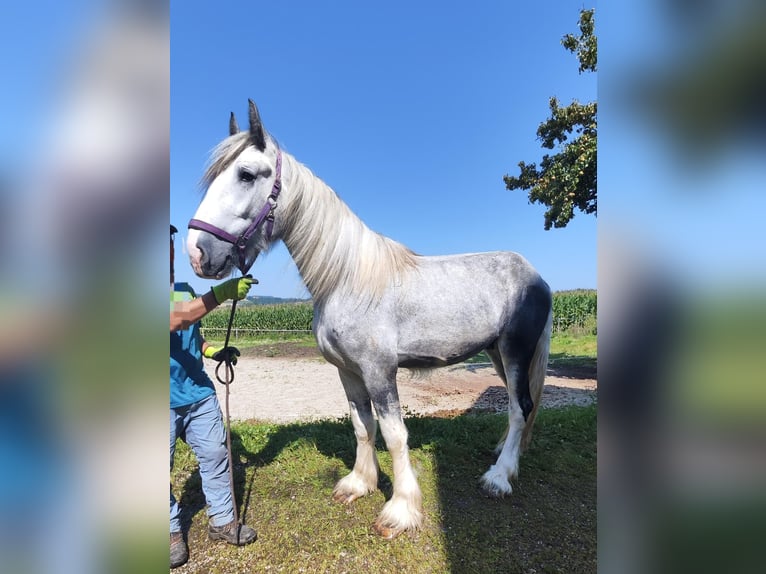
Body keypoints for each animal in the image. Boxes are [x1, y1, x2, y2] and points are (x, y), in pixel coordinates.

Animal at [186, 100, 553, 539]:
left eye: (245, 174)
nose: (197, 252)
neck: (346, 279)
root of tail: (537, 276)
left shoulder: (380, 371)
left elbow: (394, 434)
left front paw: (400, 510)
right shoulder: (348, 371)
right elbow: (362, 426)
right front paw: (358, 484)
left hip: (515, 353)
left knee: (519, 407)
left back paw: (499, 477)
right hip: (497, 354)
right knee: (519, 408)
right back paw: (502, 456)